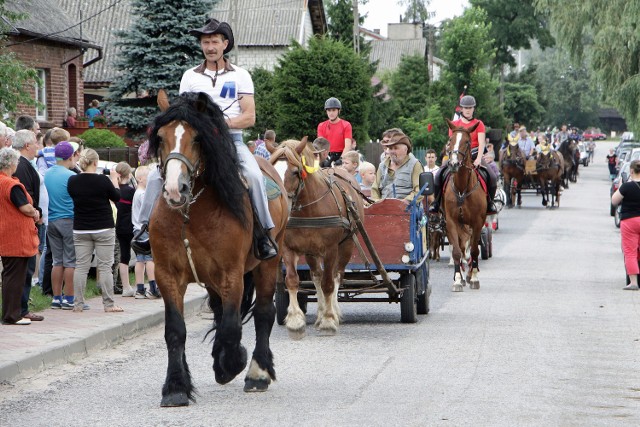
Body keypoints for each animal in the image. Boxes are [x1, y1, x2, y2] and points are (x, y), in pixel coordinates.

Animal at [148, 91, 288, 408]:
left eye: (198, 137)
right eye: (160, 137)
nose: (175, 189)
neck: (190, 214)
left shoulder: (231, 275)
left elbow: (232, 326)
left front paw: (231, 364)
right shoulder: (167, 275)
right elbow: (176, 330)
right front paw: (176, 388)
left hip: (268, 264)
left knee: (263, 313)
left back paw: (257, 373)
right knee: (219, 310)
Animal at [266, 139, 364, 340]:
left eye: (295, 172)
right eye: (272, 171)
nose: (281, 205)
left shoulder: (330, 249)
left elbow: (329, 283)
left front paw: (328, 320)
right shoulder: (288, 249)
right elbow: (292, 280)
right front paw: (295, 322)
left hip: (346, 245)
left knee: (336, 276)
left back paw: (332, 311)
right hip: (311, 252)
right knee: (317, 276)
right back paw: (320, 313)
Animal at [442, 118, 488, 292]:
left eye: (467, 142)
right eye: (450, 140)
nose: (454, 163)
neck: (462, 188)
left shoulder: (477, 222)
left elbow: (474, 250)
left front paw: (473, 278)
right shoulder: (451, 222)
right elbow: (456, 251)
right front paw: (457, 280)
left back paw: (469, 275)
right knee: (462, 249)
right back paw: (462, 276)